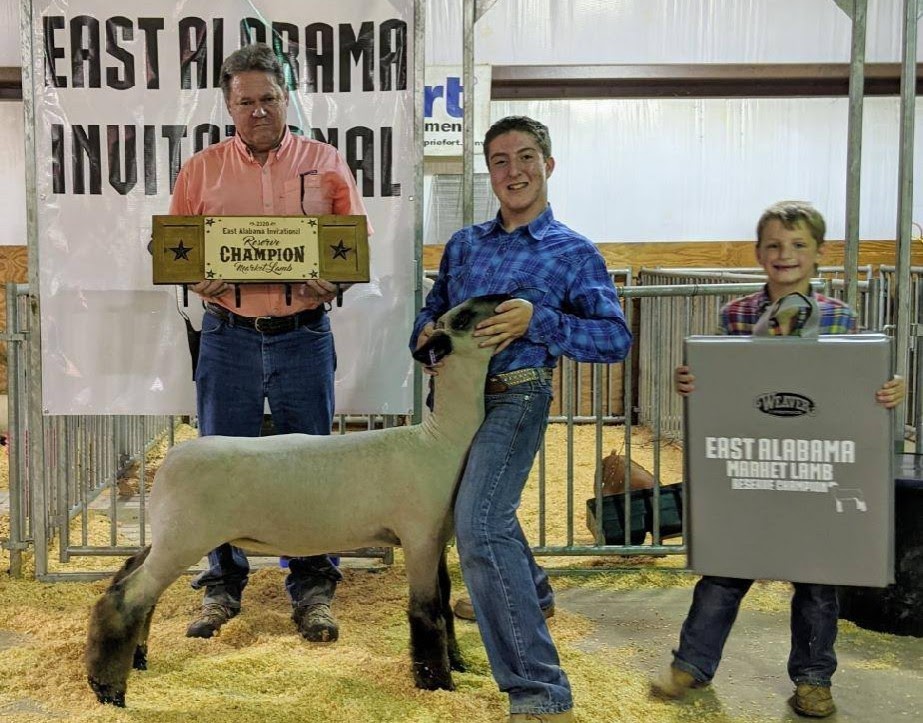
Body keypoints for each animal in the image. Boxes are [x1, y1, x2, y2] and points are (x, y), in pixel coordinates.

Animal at [85, 294, 509, 707]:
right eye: (464, 316)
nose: (507, 297)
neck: (440, 440)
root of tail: (170, 460)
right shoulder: (418, 536)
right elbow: (427, 613)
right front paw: (437, 683)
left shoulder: (438, 538)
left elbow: (445, 604)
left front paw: (458, 664)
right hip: (184, 538)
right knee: (126, 599)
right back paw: (108, 689)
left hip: (170, 534)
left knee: (131, 577)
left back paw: (136, 659)